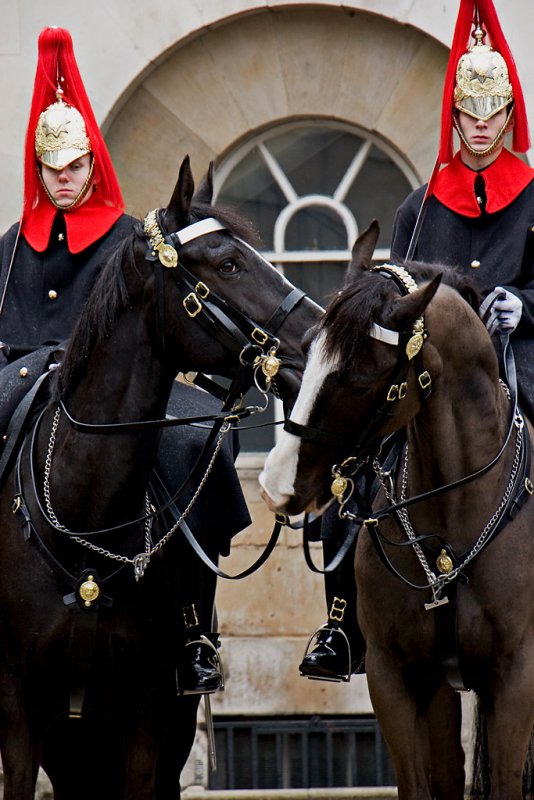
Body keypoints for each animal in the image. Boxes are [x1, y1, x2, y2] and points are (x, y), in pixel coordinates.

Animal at [262, 220, 534, 800]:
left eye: (360, 378)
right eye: (306, 348)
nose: (276, 483)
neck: (453, 524)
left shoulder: (514, 678)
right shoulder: (399, 679)